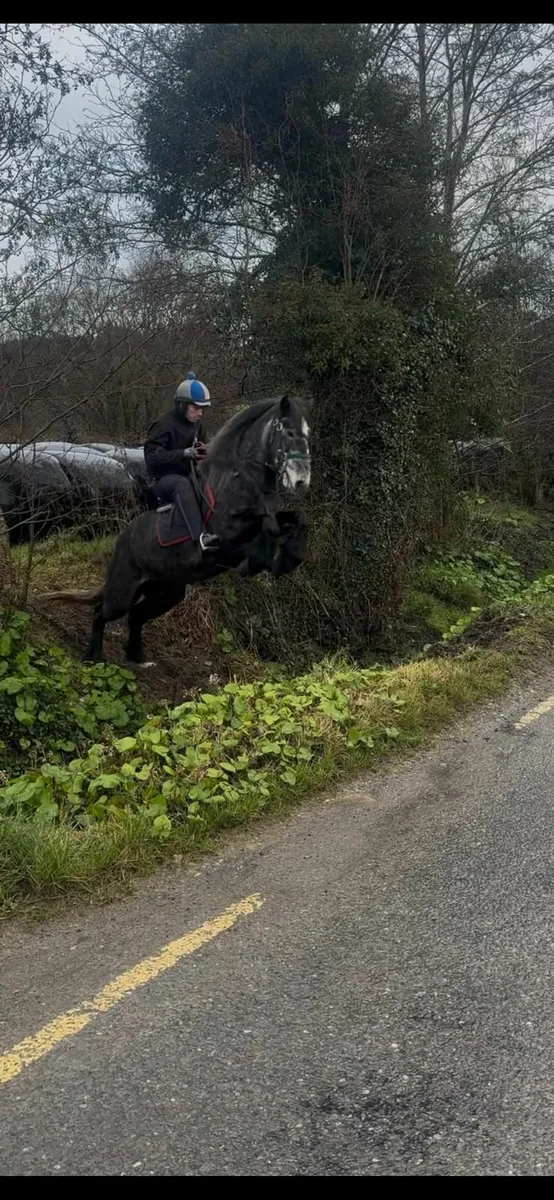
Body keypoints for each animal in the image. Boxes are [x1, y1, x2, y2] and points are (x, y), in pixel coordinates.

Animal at [43, 395, 310, 665]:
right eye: (287, 431)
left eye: (307, 432)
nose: (302, 480)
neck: (240, 478)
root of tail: (122, 540)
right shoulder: (231, 533)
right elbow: (262, 529)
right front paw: (262, 561)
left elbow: (296, 519)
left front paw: (290, 558)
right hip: (124, 592)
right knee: (102, 613)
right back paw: (93, 657)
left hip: (166, 593)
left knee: (136, 616)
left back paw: (137, 657)